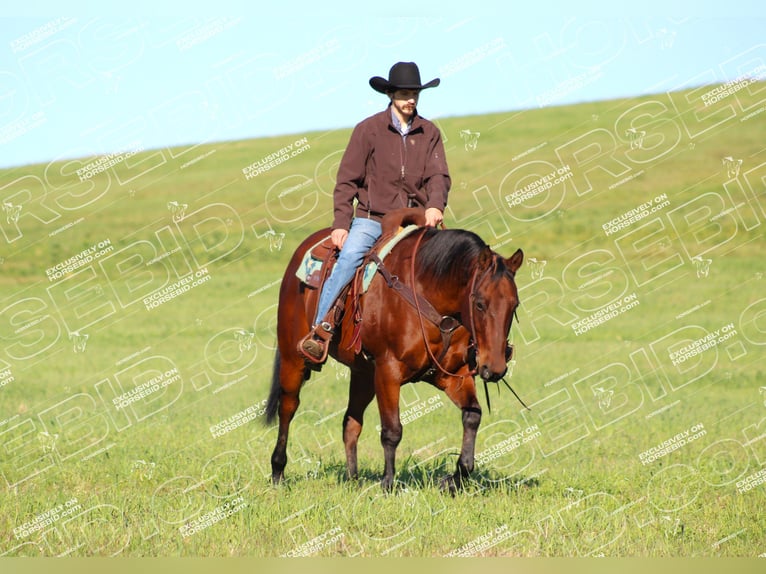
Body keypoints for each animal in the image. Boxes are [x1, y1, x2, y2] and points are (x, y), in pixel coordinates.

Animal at [264, 209, 520, 492]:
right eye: (480, 304)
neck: (427, 293)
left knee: (350, 422)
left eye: (514, 305)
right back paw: (277, 472)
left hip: (363, 374)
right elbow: (392, 431)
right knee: (288, 408)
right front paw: (387, 484)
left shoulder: (454, 376)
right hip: (293, 358)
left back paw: (352, 479)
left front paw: (453, 479)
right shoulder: (388, 372)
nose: (495, 368)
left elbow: (472, 416)